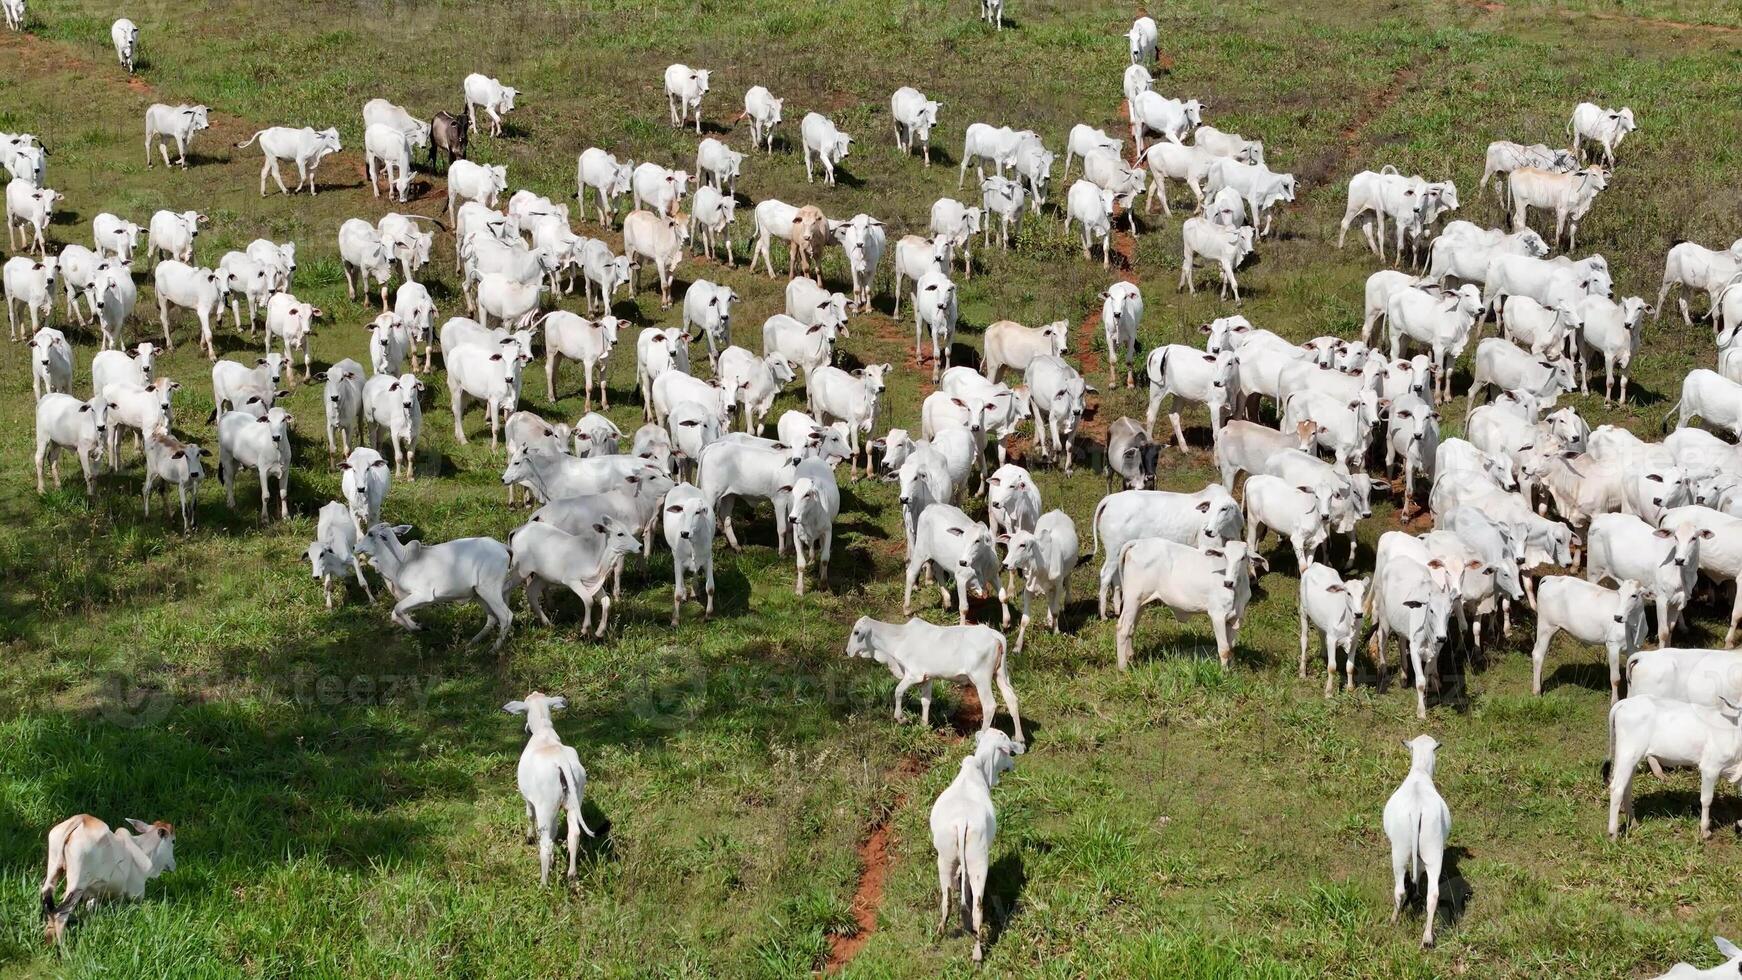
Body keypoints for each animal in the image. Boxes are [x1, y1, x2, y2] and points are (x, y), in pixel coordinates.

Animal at [39, 814, 175, 939]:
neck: (143, 850)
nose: (173, 865)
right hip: (77, 885)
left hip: (54, 869)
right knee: (60, 914)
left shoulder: (92, 895)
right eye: (173, 841)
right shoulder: (135, 895)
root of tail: (80, 820)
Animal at [357, 522, 508, 651]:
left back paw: (494, 649)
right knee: (492, 618)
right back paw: (473, 642)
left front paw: (418, 627)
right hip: (478, 594)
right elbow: (395, 614)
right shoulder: (418, 600)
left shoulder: (423, 595)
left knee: (506, 616)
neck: (402, 562)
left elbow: (398, 608)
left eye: (370, 534)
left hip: (490, 591)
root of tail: (503, 547)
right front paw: (416, 627)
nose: (355, 547)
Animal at [505, 689, 599, 891]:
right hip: (573, 800)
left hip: (545, 806)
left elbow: (529, 816)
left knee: (546, 844)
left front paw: (529, 837)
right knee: (574, 834)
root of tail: (560, 761)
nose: (526, 729)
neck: (543, 733)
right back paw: (572, 875)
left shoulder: (528, 799)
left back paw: (543, 883)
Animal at [1379, 738, 1449, 953]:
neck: (1419, 772)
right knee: (1433, 894)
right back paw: (1427, 938)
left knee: (1399, 889)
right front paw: (1416, 891)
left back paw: (1393, 920)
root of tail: (1418, 807)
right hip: (1433, 847)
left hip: (1399, 849)